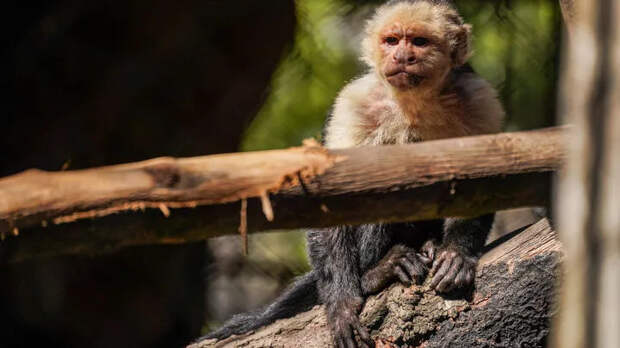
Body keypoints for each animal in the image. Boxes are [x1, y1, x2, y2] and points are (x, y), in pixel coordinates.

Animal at [199, 1, 504, 346]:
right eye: (391, 41)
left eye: (419, 42)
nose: (402, 57)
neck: (413, 103)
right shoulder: (354, 102)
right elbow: (335, 197)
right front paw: (342, 304)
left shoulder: (478, 98)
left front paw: (456, 255)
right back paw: (376, 272)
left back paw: (430, 246)